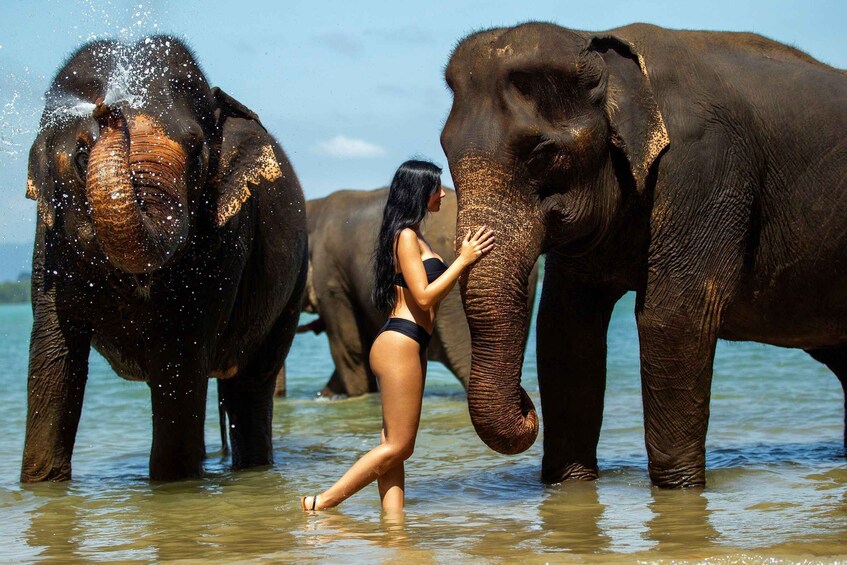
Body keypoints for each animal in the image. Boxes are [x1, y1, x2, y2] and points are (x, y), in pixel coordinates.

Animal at [21, 36, 308, 482]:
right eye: (82, 155)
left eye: (196, 150)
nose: (106, 109)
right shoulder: (50, 241)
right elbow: (55, 360)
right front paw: (42, 484)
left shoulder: (225, 236)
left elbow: (179, 363)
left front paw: (173, 484)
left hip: (293, 285)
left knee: (250, 386)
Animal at [441, 22, 847, 488]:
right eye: (445, 151)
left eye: (541, 153)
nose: (527, 406)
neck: (599, 43)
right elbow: (566, 326)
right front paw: (571, 483)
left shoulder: (703, 168)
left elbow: (673, 318)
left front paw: (679, 489)